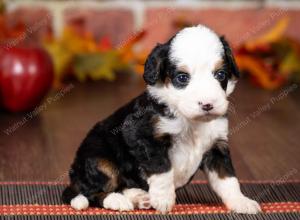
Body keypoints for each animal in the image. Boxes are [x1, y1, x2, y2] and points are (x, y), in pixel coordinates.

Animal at [62, 24, 262, 214]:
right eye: (182, 77)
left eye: (220, 74)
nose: (207, 104)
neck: (190, 120)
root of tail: (74, 177)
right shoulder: (143, 136)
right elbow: (161, 168)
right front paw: (163, 199)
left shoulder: (216, 146)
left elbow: (228, 179)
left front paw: (242, 202)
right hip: (98, 159)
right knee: (93, 191)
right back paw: (118, 201)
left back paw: (139, 196)